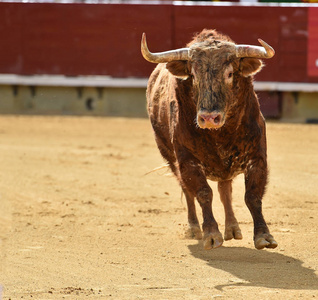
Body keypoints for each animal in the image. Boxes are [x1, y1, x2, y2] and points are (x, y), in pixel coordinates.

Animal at [142, 29, 278, 250]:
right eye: (194, 75)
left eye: (230, 73)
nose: (208, 118)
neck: (220, 134)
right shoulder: (187, 161)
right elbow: (203, 193)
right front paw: (211, 235)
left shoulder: (257, 157)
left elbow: (252, 195)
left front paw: (264, 236)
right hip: (170, 157)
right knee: (188, 191)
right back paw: (194, 228)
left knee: (225, 191)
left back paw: (232, 228)